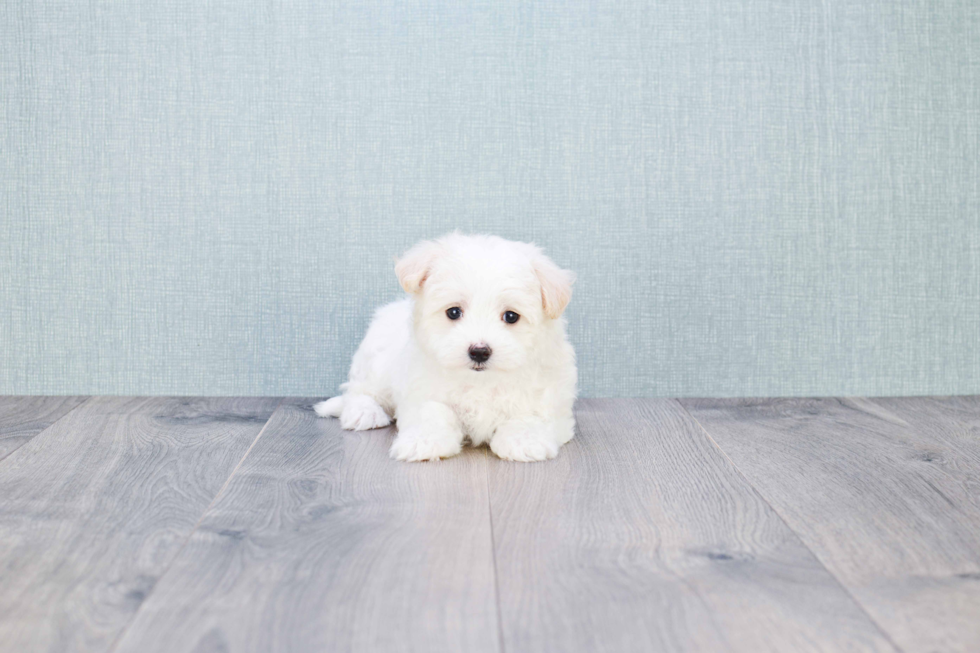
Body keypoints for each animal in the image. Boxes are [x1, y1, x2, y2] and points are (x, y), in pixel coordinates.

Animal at [314, 232, 580, 460]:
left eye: (511, 316)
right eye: (453, 312)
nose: (479, 351)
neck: (482, 382)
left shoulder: (548, 395)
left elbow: (530, 414)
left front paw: (523, 440)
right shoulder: (422, 387)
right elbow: (433, 412)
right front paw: (423, 441)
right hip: (375, 362)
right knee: (359, 390)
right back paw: (364, 412)